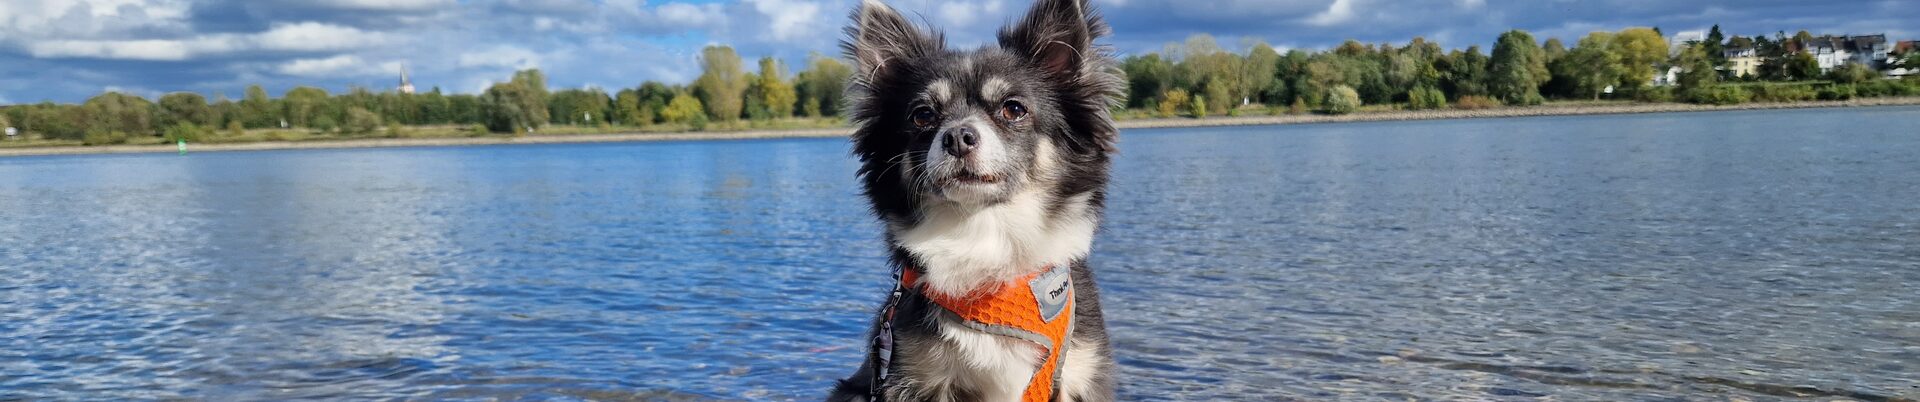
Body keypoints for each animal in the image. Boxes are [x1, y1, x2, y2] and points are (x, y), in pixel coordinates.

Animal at [825, 0, 1121, 400]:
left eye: (1014, 109)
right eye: (922, 115)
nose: (957, 137)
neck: (985, 233)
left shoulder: (1080, 371)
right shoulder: (912, 376)